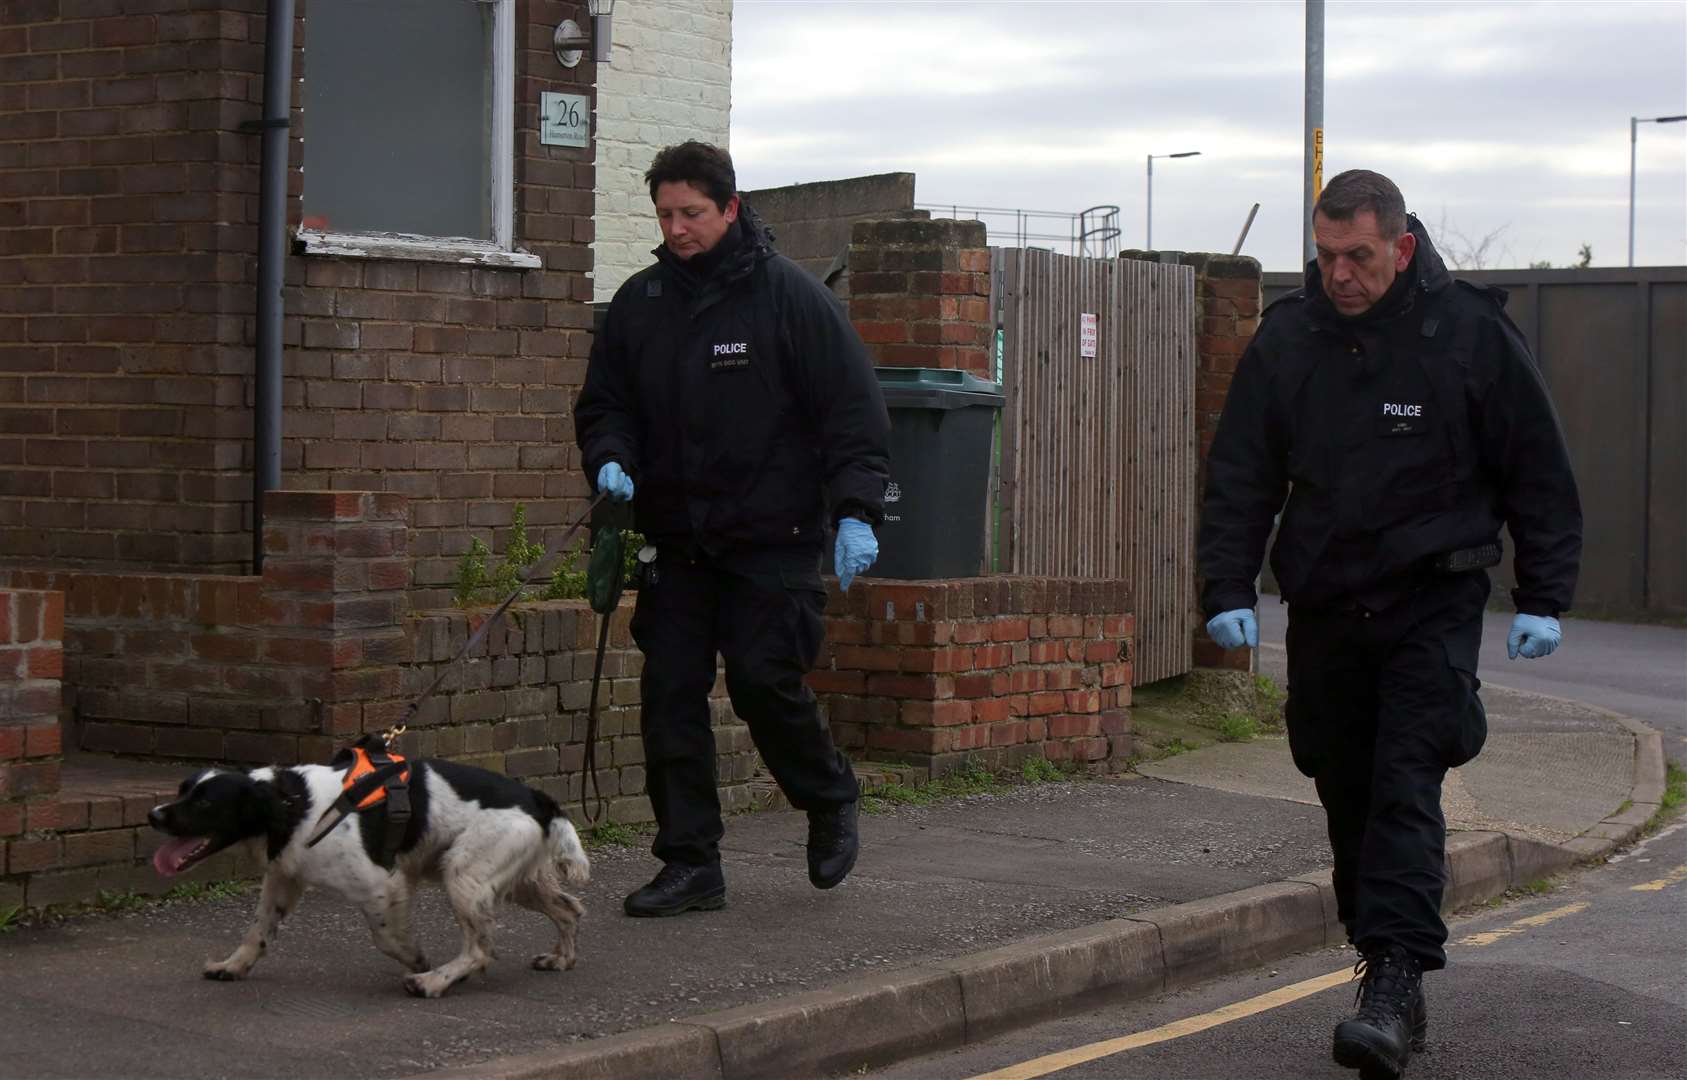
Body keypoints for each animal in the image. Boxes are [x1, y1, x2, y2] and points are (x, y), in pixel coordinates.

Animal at [146, 745, 593, 999]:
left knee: (480, 949)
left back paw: (434, 982)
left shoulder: (384, 883)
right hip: (515, 880)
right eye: (183, 790)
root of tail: (539, 799)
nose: (153, 815)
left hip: (464, 874)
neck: (295, 805)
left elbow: (387, 938)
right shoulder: (284, 877)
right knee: (569, 909)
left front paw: (418, 963)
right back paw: (562, 959)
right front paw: (233, 966)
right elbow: (257, 931)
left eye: (205, 803)